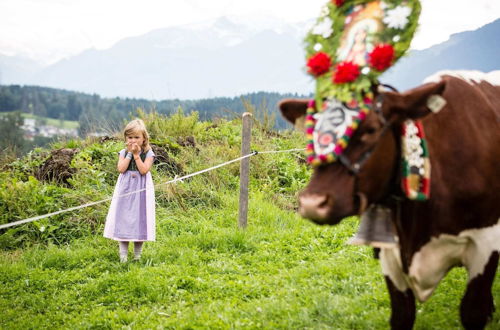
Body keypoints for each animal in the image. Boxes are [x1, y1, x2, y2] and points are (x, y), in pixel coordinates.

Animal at [280, 70, 498, 330]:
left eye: (372, 129)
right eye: (311, 130)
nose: (313, 203)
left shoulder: (486, 244)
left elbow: (473, 313)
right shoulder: (390, 256)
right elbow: (401, 316)